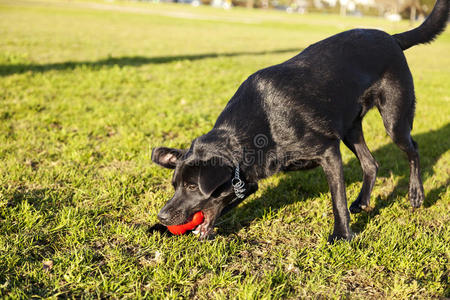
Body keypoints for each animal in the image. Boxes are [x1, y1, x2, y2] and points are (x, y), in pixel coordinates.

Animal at [152, 0, 450, 239]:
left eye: (193, 186)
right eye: (175, 185)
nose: (162, 216)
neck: (254, 130)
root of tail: (392, 37)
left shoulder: (328, 152)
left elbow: (337, 201)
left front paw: (342, 235)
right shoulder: (248, 179)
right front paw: (157, 229)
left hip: (394, 120)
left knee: (413, 150)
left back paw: (416, 194)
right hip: (350, 129)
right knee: (372, 164)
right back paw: (363, 201)